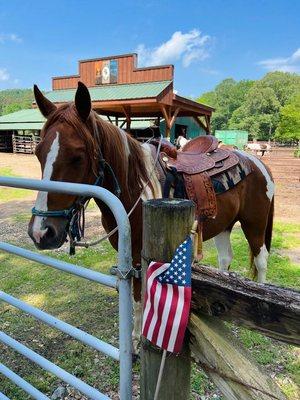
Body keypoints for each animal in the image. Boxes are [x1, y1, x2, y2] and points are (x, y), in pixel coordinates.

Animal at [27, 83, 274, 352]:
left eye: (77, 156)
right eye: (38, 153)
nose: (41, 232)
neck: (136, 187)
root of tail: (257, 162)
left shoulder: (140, 256)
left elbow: (138, 297)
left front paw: (137, 340)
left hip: (254, 223)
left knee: (261, 260)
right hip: (224, 225)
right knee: (225, 258)